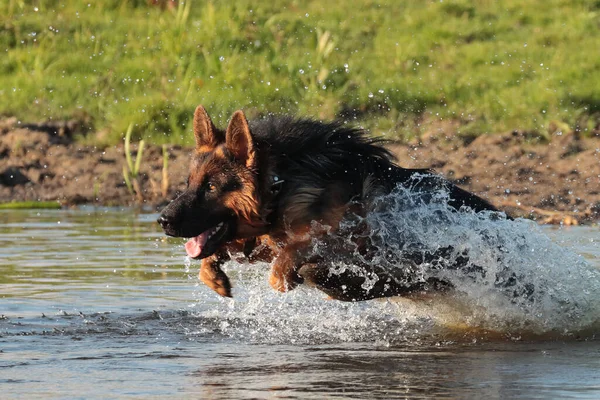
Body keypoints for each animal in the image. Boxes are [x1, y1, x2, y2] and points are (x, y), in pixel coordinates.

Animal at [157, 105, 500, 300]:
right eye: (188, 184)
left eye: (211, 187)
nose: (162, 220)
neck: (280, 185)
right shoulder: (266, 238)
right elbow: (228, 252)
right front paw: (213, 275)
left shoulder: (349, 233)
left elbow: (305, 244)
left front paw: (283, 275)